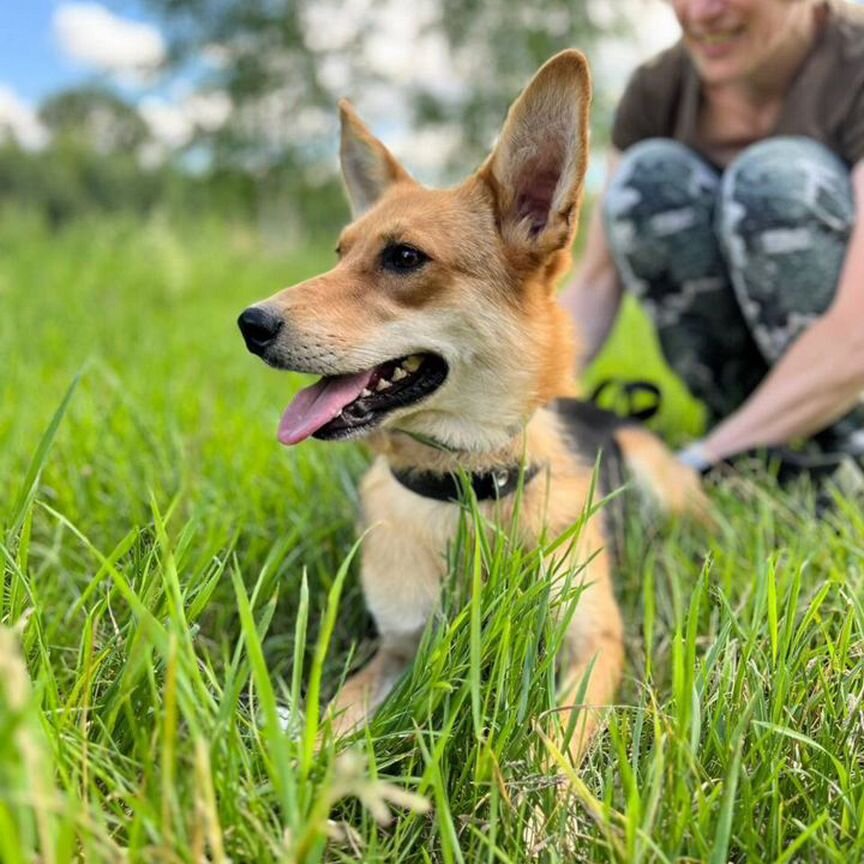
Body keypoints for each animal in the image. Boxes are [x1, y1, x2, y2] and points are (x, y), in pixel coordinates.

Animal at [238, 49, 708, 764]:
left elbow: (554, 746)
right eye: (339, 255)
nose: (250, 324)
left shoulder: (593, 645)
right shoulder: (397, 648)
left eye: (404, 257)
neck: (465, 487)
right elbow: (335, 720)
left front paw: (542, 794)